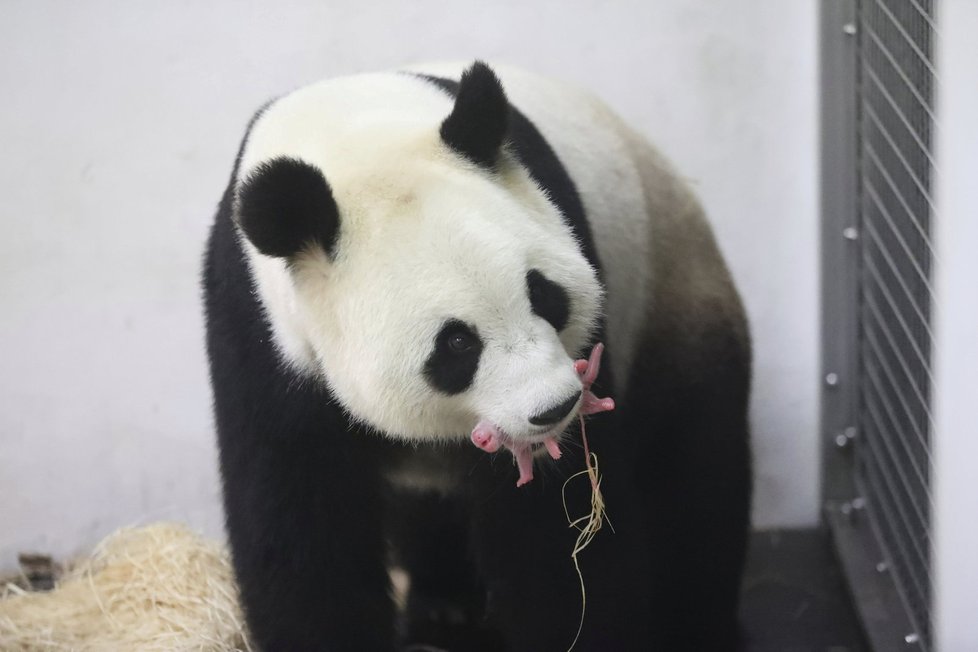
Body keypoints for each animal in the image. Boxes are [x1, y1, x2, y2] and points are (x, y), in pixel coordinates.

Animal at [202, 62, 752, 652]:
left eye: (543, 294)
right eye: (457, 344)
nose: (554, 408)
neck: (348, 136)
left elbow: (557, 526)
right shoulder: (264, 336)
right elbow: (301, 524)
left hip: (670, 284)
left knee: (693, 475)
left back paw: (695, 622)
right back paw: (447, 606)